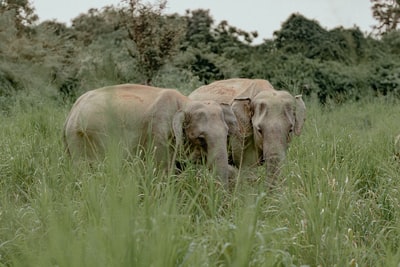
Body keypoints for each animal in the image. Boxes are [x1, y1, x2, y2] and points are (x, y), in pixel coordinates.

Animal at [62, 84, 238, 186]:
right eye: (201, 139)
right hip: (82, 139)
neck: (185, 103)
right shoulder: (158, 131)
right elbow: (162, 171)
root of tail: (71, 111)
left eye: (227, 135)